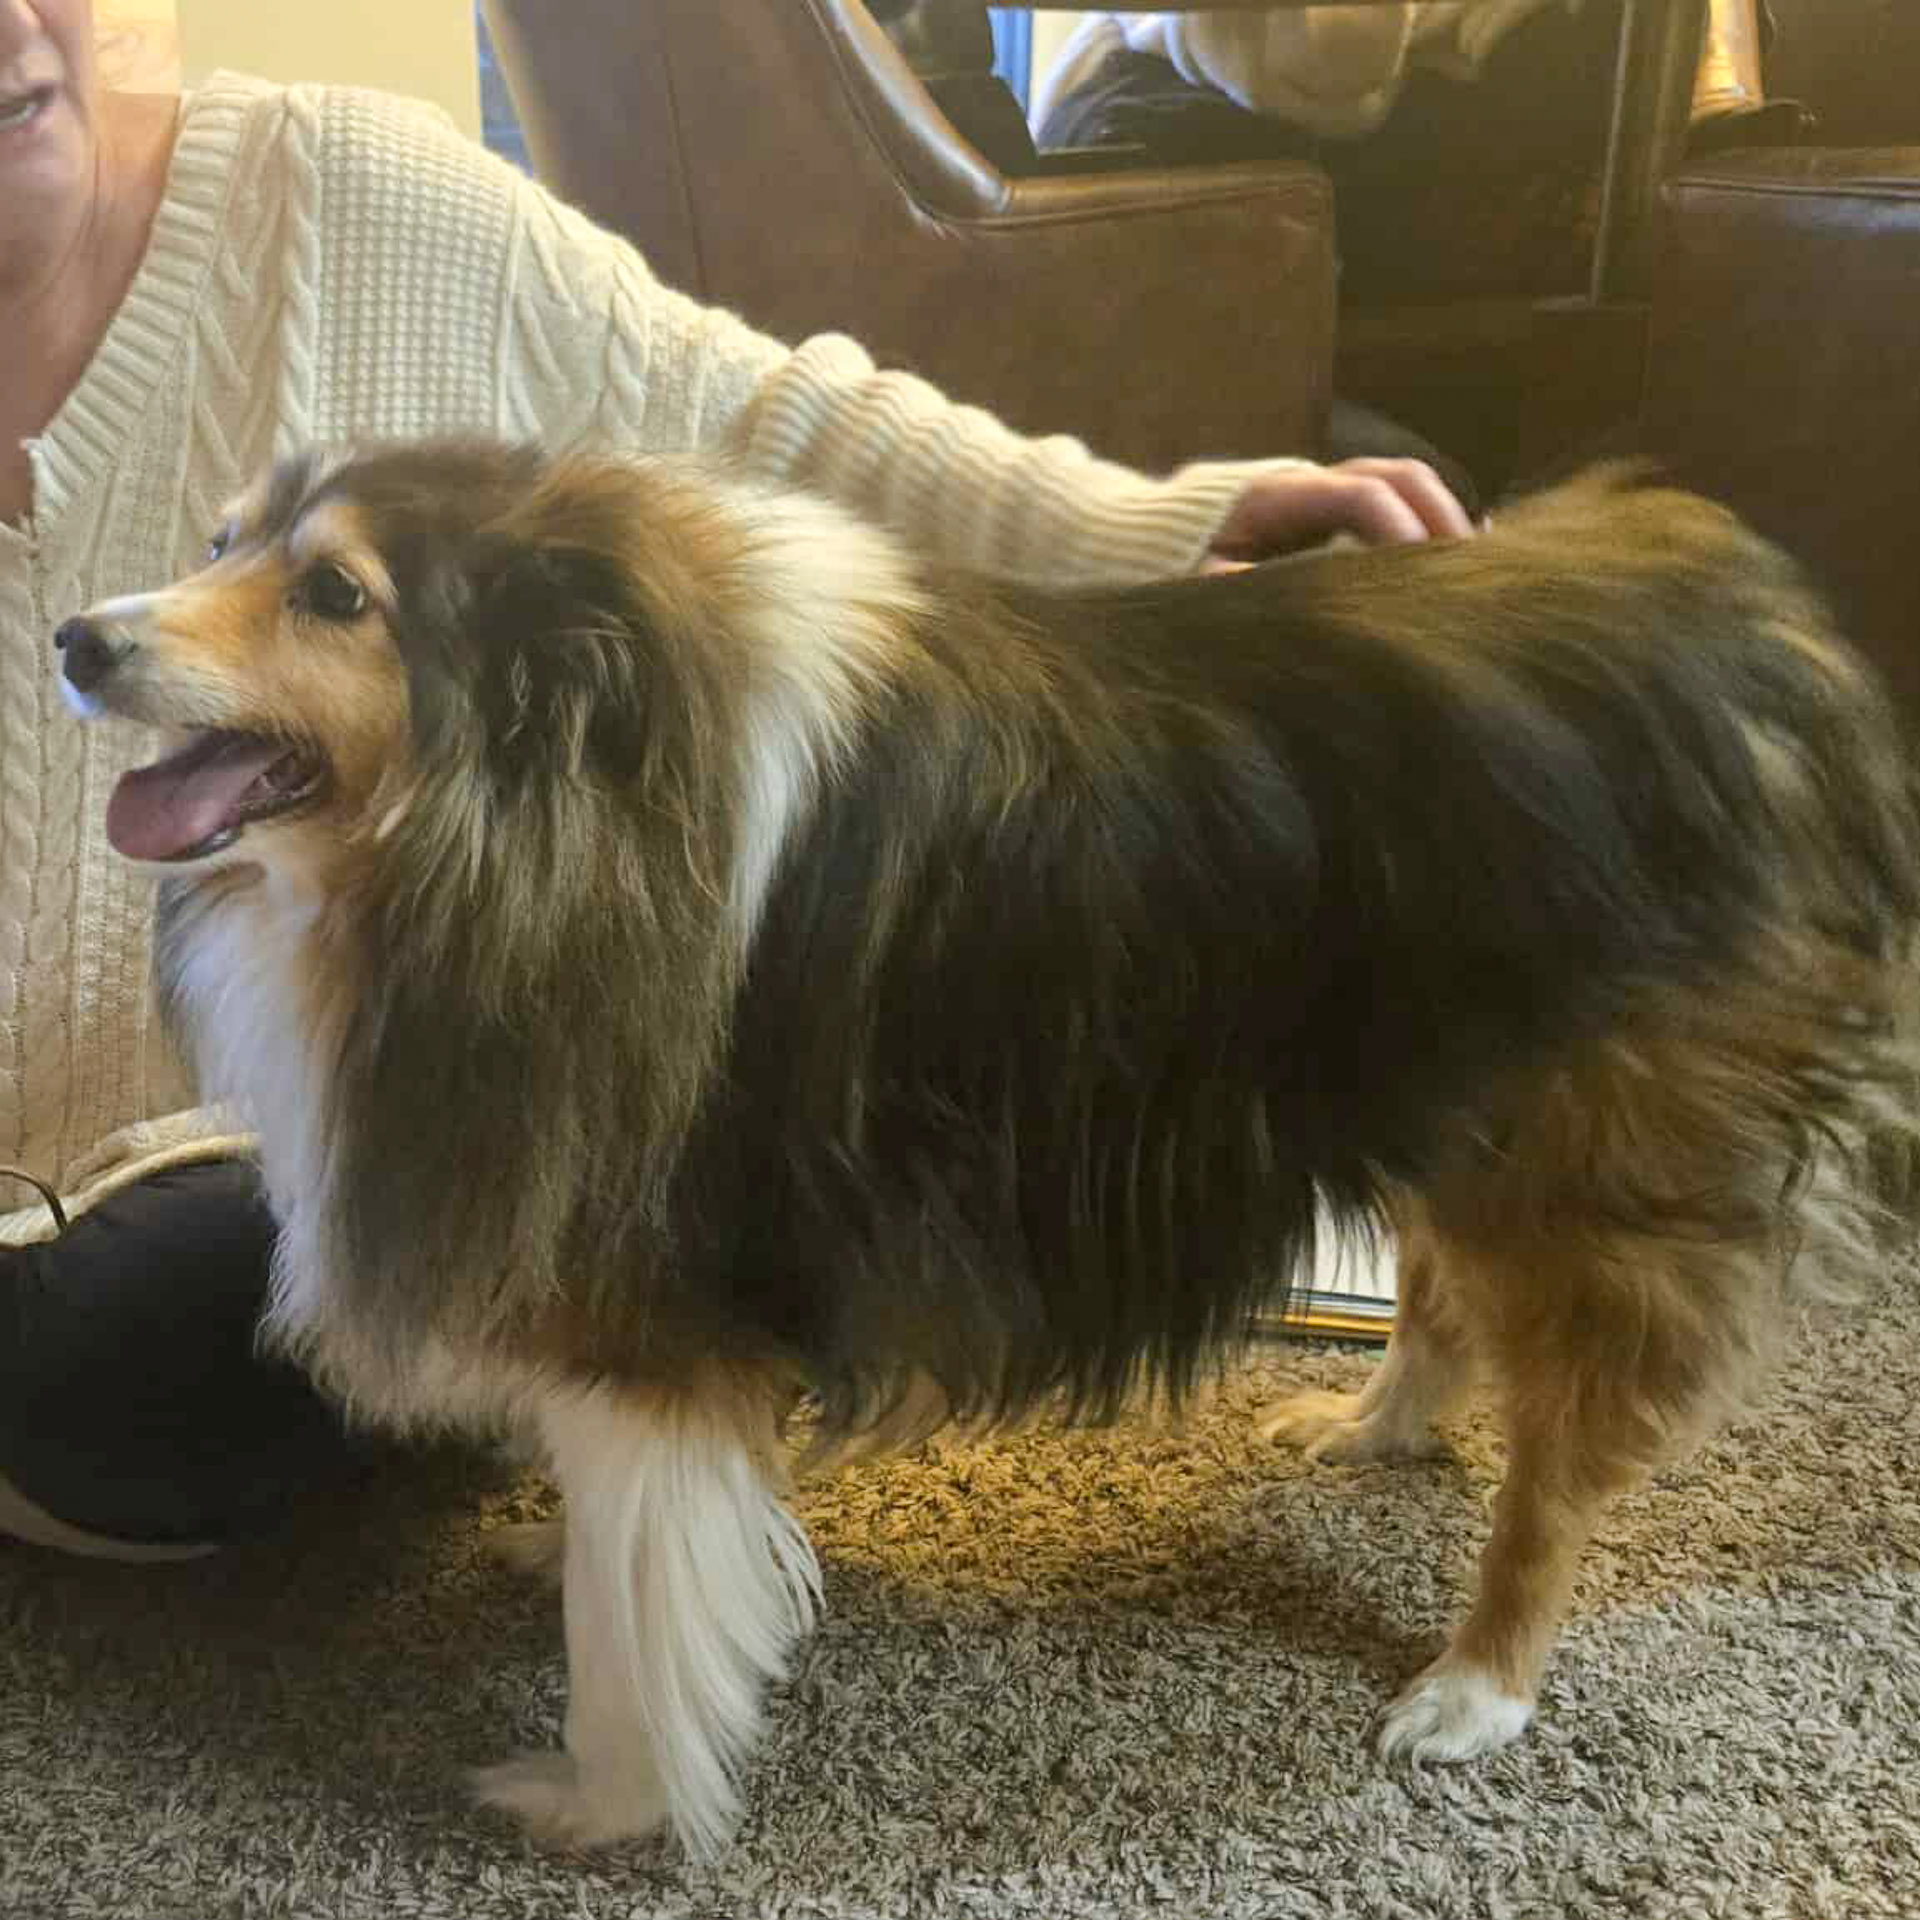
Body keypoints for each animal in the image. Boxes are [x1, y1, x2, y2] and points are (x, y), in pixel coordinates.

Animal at [58, 441, 1920, 1856]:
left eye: (338, 594)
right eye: (219, 539)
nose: (75, 636)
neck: (530, 803)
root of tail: (1744, 609)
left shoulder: (644, 1311)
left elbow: (635, 1622)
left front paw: (600, 1799)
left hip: (1578, 1157)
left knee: (1562, 1457)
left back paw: (1476, 1688)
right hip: (1435, 1092)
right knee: (1443, 1298)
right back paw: (1371, 1425)